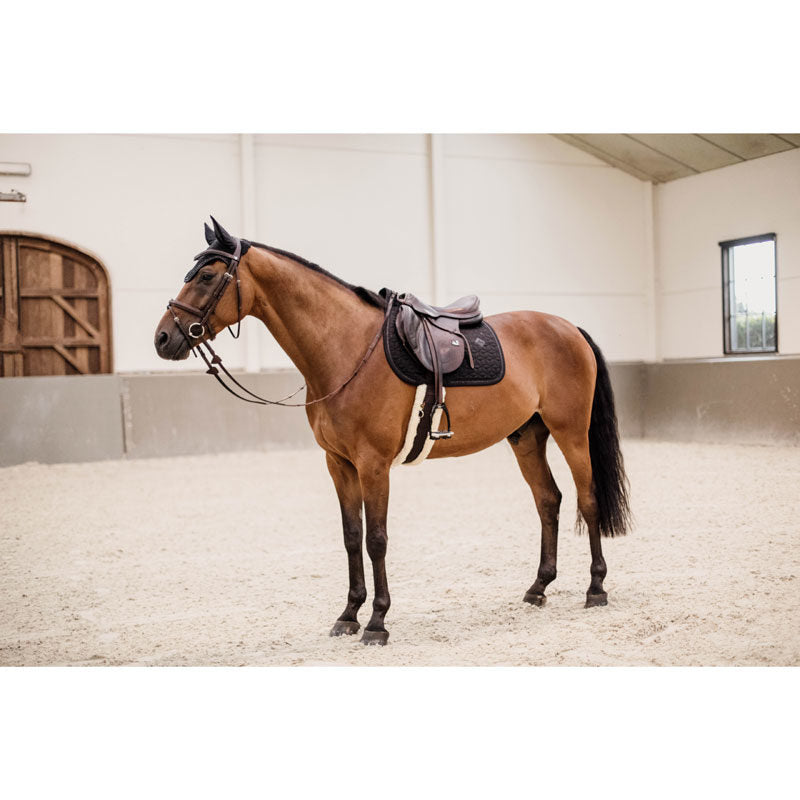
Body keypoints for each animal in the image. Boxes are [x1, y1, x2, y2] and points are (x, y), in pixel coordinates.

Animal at [154, 217, 631, 645]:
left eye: (207, 276)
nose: (162, 338)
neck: (346, 349)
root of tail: (569, 328)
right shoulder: (339, 464)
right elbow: (351, 538)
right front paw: (348, 615)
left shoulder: (373, 465)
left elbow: (376, 540)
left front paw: (377, 622)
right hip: (527, 437)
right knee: (548, 501)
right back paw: (538, 588)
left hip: (571, 433)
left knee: (588, 500)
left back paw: (595, 588)